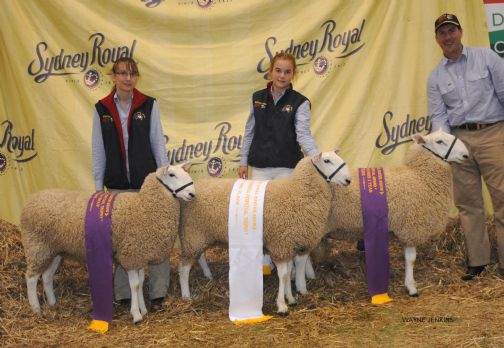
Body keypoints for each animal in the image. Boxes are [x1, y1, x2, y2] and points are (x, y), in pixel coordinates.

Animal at [19, 162, 194, 324]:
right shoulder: (130, 255)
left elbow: (140, 282)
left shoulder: (138, 255)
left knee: (47, 276)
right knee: (31, 278)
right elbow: (135, 285)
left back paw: (53, 303)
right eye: (171, 175)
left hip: (55, 250)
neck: (144, 206)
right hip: (36, 245)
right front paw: (136, 315)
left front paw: (143, 309)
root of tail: (30, 200)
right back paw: (36, 309)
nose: (192, 193)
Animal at [177, 151, 350, 314]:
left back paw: (207, 275)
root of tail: (193, 188)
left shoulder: (287, 243)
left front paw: (290, 298)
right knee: (184, 268)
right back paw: (186, 295)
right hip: (193, 233)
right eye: (327, 160)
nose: (349, 180)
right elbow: (284, 275)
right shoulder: (280, 243)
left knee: (200, 255)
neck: (297, 191)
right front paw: (282, 305)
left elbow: (288, 272)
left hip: (199, 234)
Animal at [300, 129, 468, 298]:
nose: (466, 155)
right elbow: (411, 260)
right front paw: (411, 287)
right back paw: (302, 286)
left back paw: (310, 276)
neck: (419, 177)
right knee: (301, 257)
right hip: (308, 224)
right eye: (440, 141)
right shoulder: (410, 228)